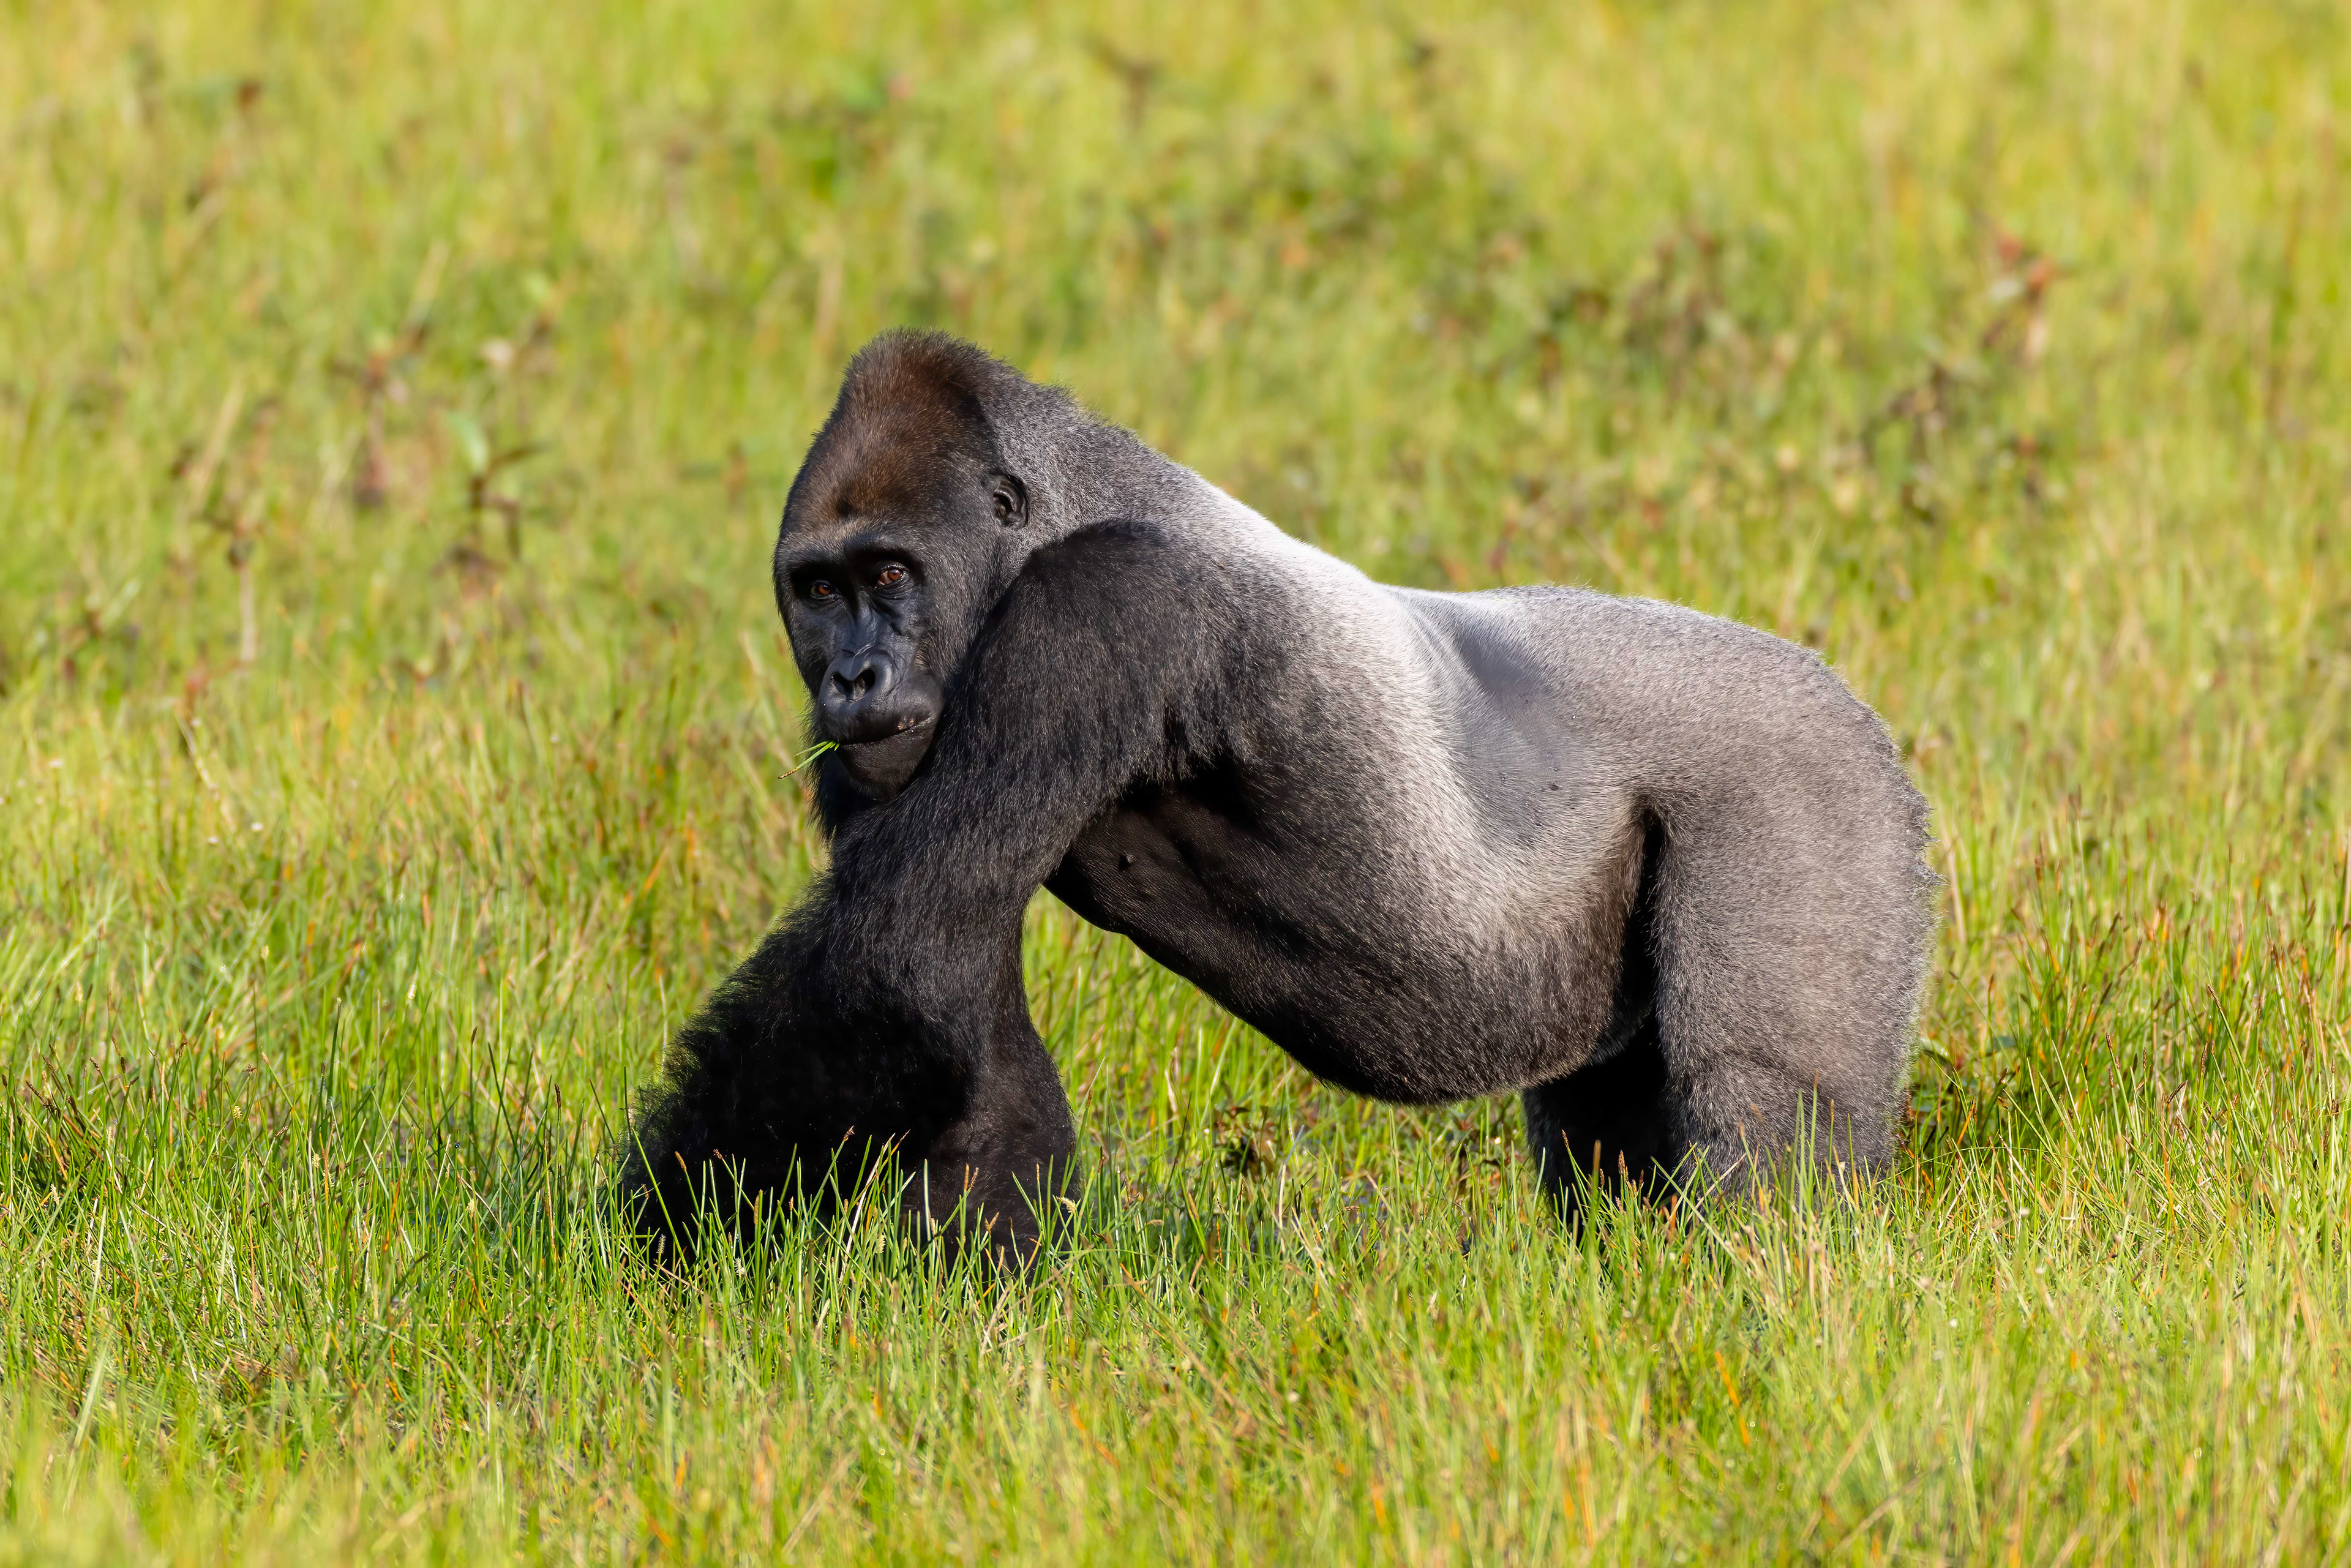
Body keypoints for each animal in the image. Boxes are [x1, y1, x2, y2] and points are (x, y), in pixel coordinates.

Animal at [619, 330, 1934, 1262]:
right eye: (819, 590)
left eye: (891, 576)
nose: (852, 677)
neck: (1066, 504)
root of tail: (1846, 696)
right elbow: (939, 999)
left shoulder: (1101, 605)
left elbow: (899, 967)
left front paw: (658, 1243)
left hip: (1814, 778)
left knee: (1770, 1112)